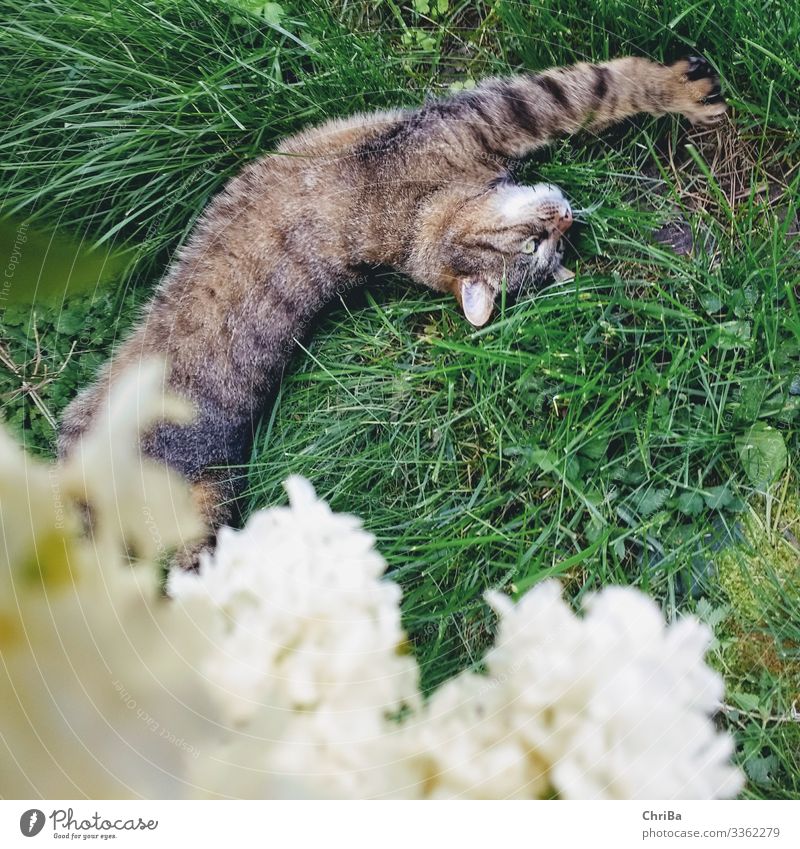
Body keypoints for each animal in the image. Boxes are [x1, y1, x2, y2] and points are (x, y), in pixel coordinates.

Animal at [59, 51, 728, 564]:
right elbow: (591, 87)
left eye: (557, 250)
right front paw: (680, 89)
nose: (565, 218)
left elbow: (588, 87)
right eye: (534, 245)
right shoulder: (488, 115)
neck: (418, 226)